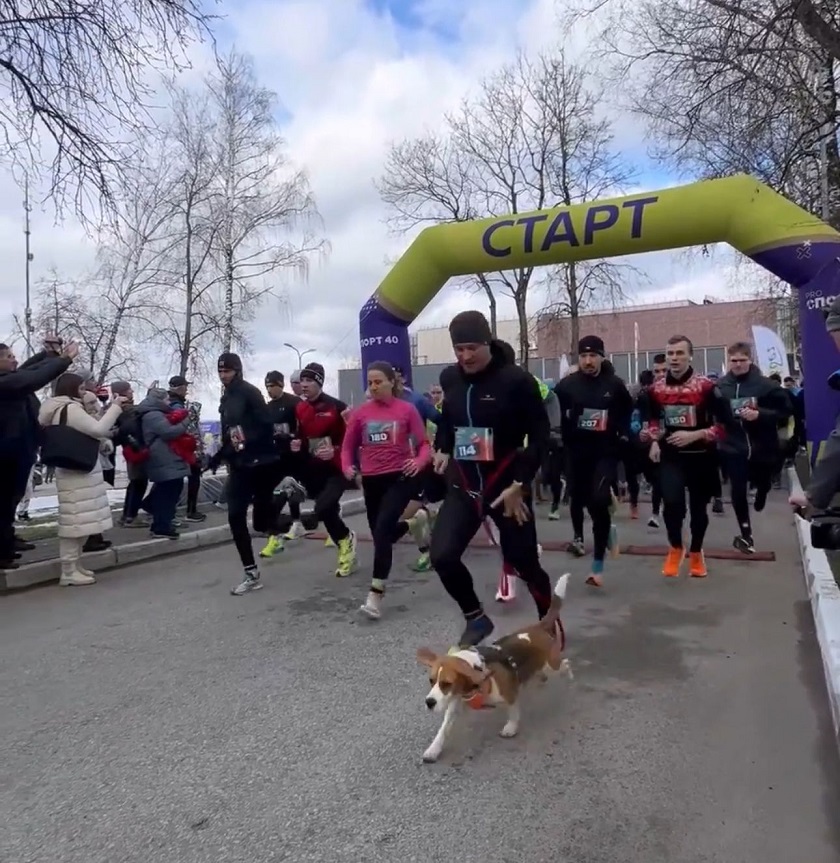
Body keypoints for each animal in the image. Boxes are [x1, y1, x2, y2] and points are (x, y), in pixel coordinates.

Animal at [416, 573, 573, 763]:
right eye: (431, 681)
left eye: (447, 683)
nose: (429, 702)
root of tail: (538, 626)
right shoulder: (454, 705)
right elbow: (443, 730)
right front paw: (433, 749)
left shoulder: (509, 695)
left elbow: (513, 712)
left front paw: (511, 727)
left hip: (553, 665)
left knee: (565, 664)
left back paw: (569, 675)